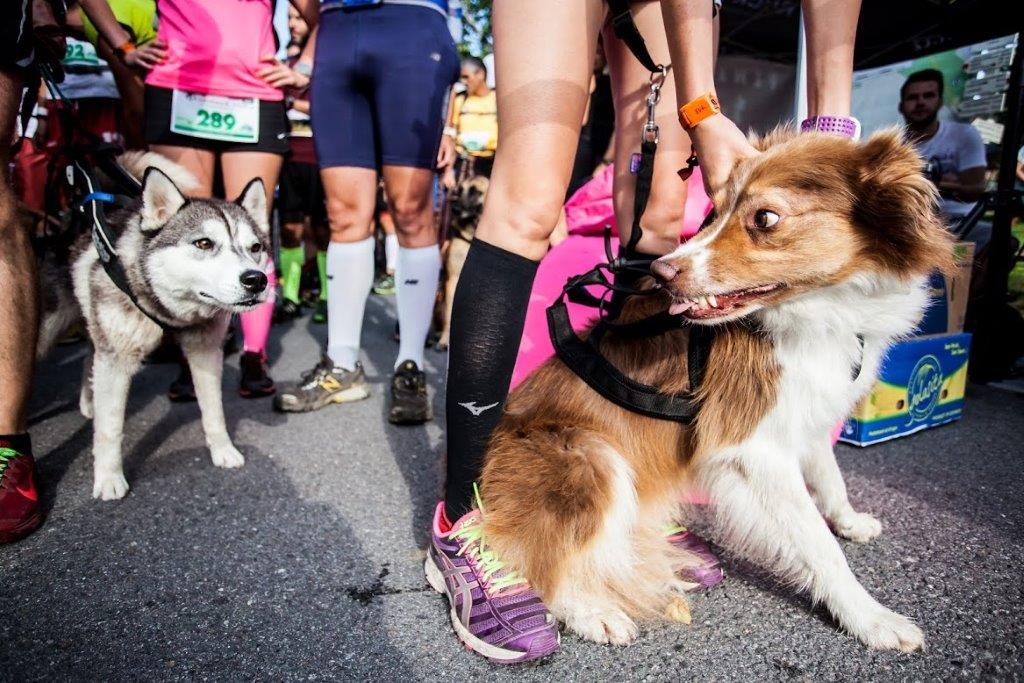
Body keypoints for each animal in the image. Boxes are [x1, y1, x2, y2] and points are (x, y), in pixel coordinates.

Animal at [38, 153, 272, 497]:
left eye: (255, 248)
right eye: (204, 243)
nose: (257, 280)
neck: (168, 309)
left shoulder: (205, 352)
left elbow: (214, 410)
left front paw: (223, 450)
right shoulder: (117, 359)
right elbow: (110, 427)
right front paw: (109, 479)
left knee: (90, 355)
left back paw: (89, 400)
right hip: (52, 329)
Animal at [475, 126, 954, 651]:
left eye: (765, 218)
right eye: (715, 207)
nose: (662, 273)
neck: (820, 309)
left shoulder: (802, 416)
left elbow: (830, 477)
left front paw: (849, 520)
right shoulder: (753, 447)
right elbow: (818, 543)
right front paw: (871, 618)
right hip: (590, 458)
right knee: (540, 556)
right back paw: (590, 611)